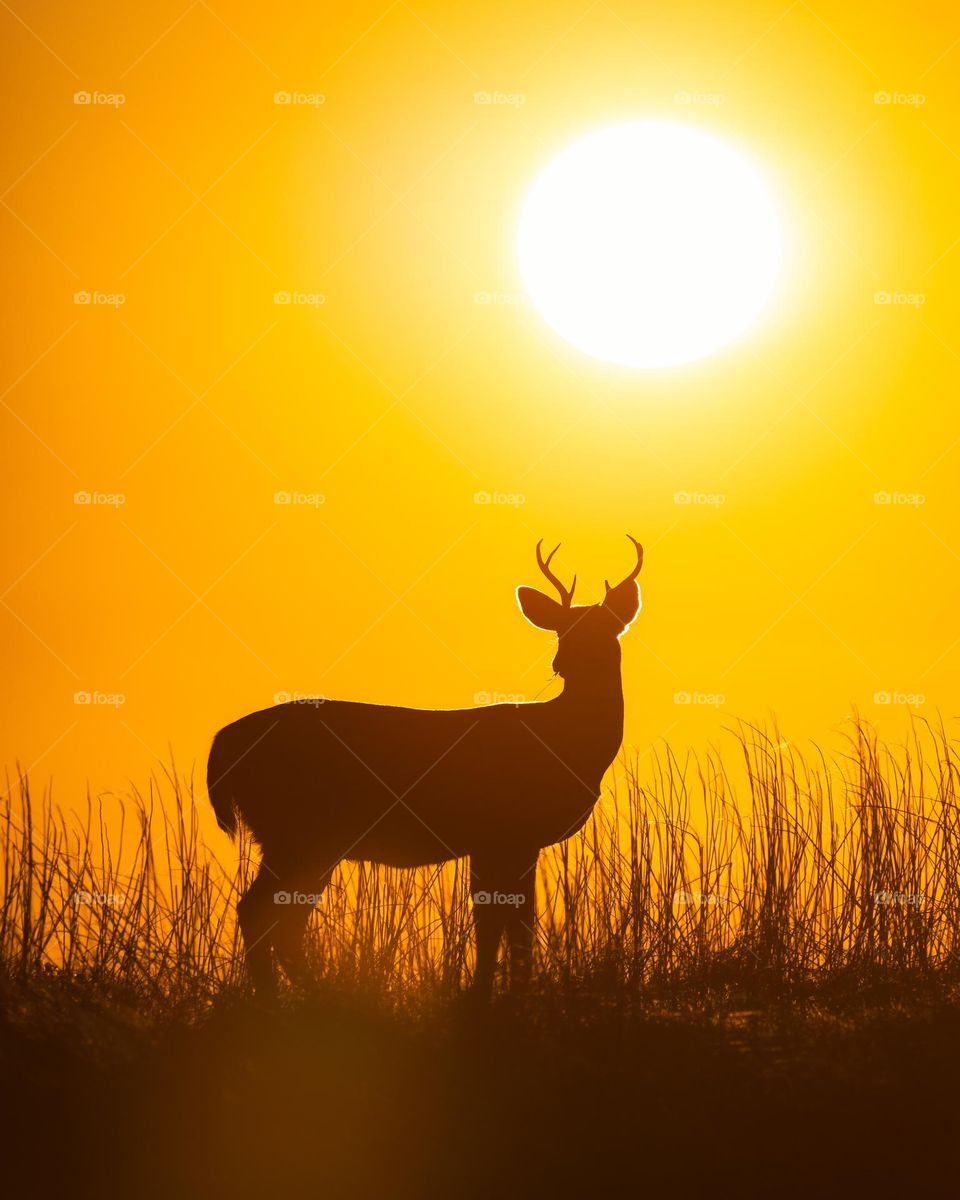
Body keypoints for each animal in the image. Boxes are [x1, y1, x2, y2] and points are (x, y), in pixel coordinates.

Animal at [206, 540, 643, 998]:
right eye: (562, 630)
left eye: (607, 629)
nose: (563, 662)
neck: (566, 744)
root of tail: (222, 744)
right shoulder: (503, 835)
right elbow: (498, 923)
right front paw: (488, 996)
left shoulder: (509, 842)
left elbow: (510, 922)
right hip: (297, 833)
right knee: (260, 912)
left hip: (302, 839)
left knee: (279, 918)